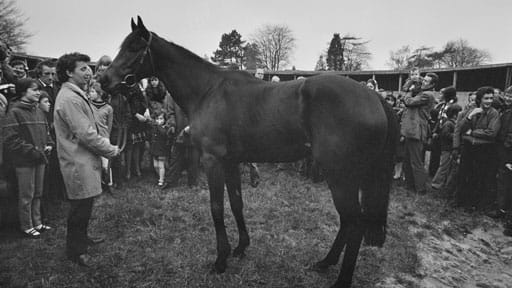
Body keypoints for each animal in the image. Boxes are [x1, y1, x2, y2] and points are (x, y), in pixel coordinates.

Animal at [99, 16, 396, 288]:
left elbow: (217, 207)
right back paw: (324, 263)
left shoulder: (213, 161)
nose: (104, 80)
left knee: (354, 222)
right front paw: (241, 247)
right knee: (348, 222)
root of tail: (374, 97)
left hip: (340, 175)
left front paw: (221, 260)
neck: (208, 91)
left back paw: (340, 278)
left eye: (135, 47)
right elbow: (236, 203)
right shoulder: (231, 162)